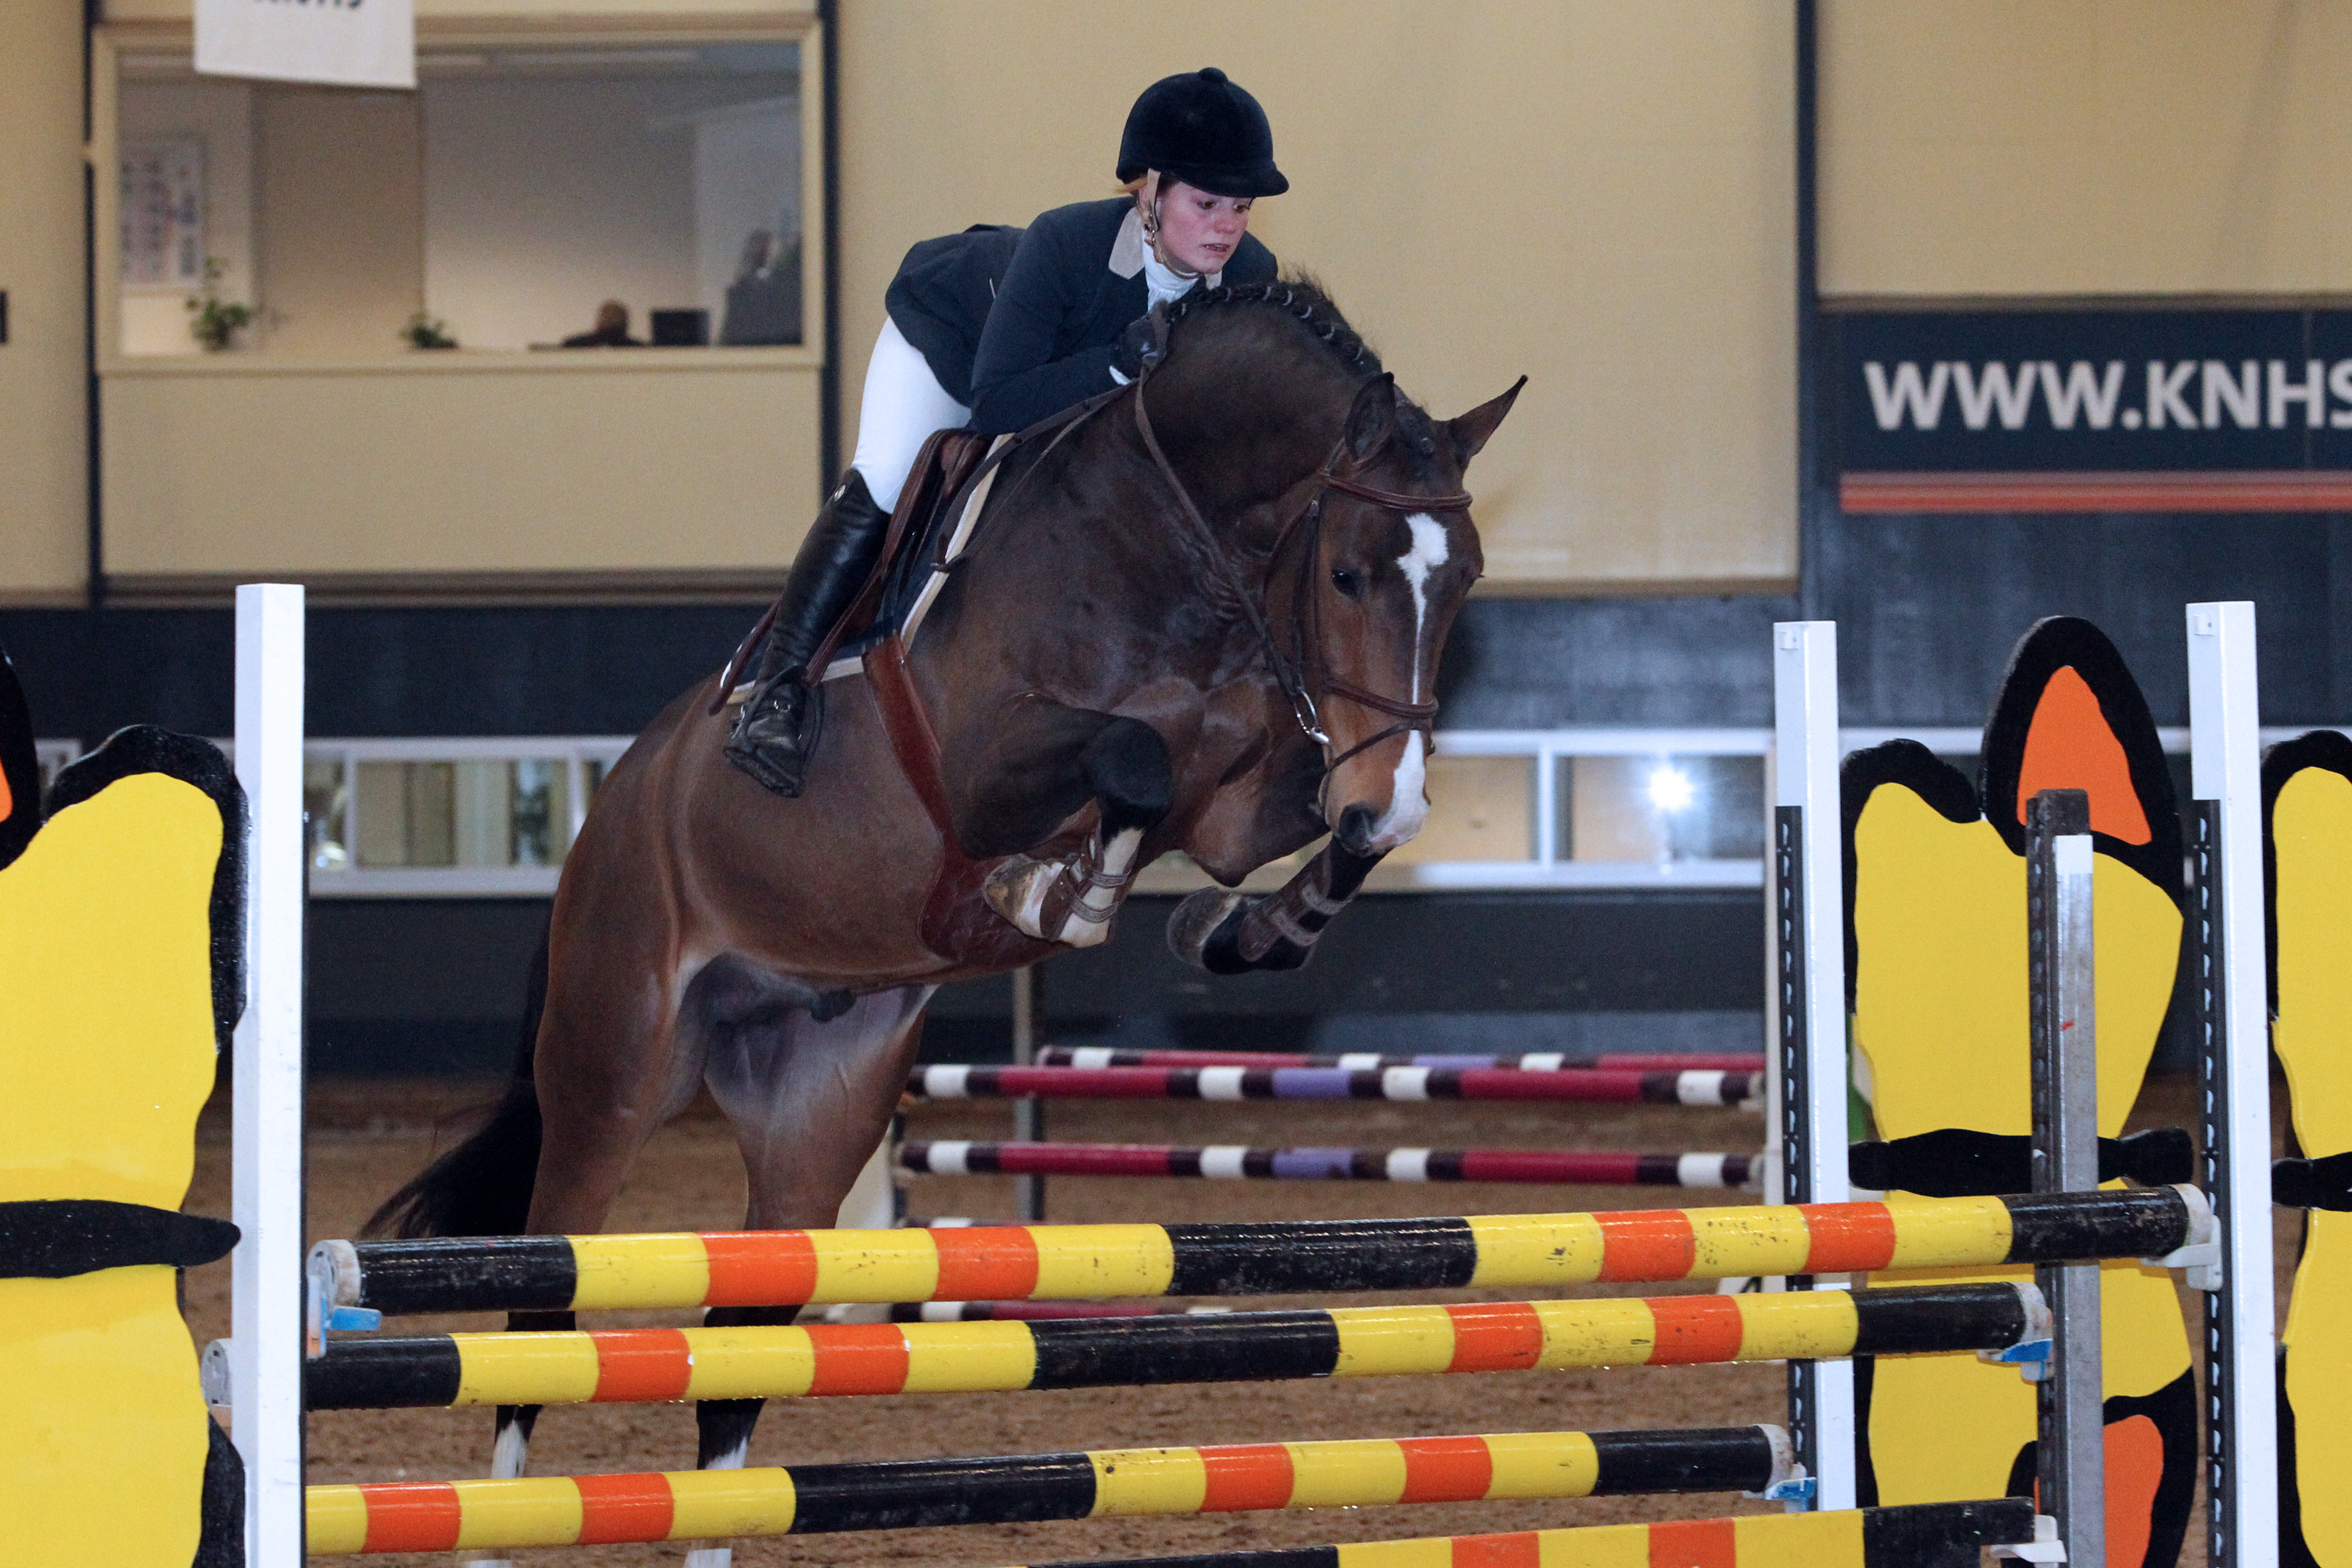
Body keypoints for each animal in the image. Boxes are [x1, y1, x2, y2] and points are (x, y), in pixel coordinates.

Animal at [370, 278, 1520, 1567]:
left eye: (1465, 578)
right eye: (1349, 576)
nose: (1396, 786)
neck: (1177, 541)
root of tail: (609, 811)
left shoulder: (1243, 807)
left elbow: (1306, 826)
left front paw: (1237, 931)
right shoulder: (985, 769)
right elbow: (1131, 756)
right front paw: (1060, 889)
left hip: (815, 1102)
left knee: (736, 1353)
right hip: (613, 1068)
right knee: (539, 1312)